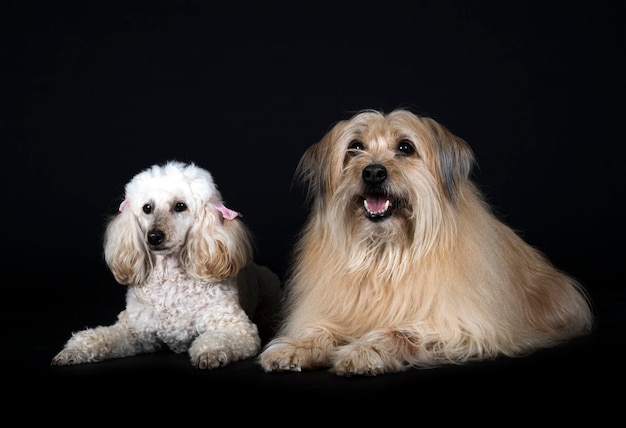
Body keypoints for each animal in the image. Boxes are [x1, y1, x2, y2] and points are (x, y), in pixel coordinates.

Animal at [258, 108, 588, 376]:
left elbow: (400, 333)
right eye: (355, 147)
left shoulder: (464, 328)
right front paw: (295, 346)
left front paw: (364, 350)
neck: (384, 253)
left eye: (405, 147)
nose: (373, 172)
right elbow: (320, 329)